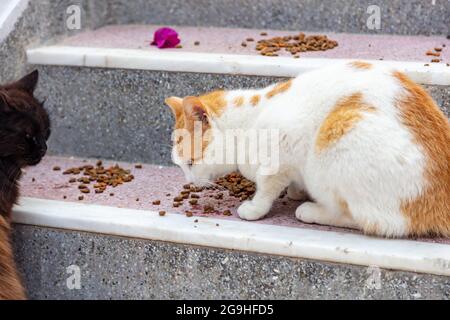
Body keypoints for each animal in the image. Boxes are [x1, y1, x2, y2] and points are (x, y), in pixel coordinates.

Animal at [165, 62, 450, 238]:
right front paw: (295, 191)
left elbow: (266, 187)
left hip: (335, 141)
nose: (189, 182)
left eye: (190, 163)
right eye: (180, 166)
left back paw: (312, 211)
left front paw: (255, 208)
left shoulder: (280, 153)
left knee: (375, 222)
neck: (248, 121)